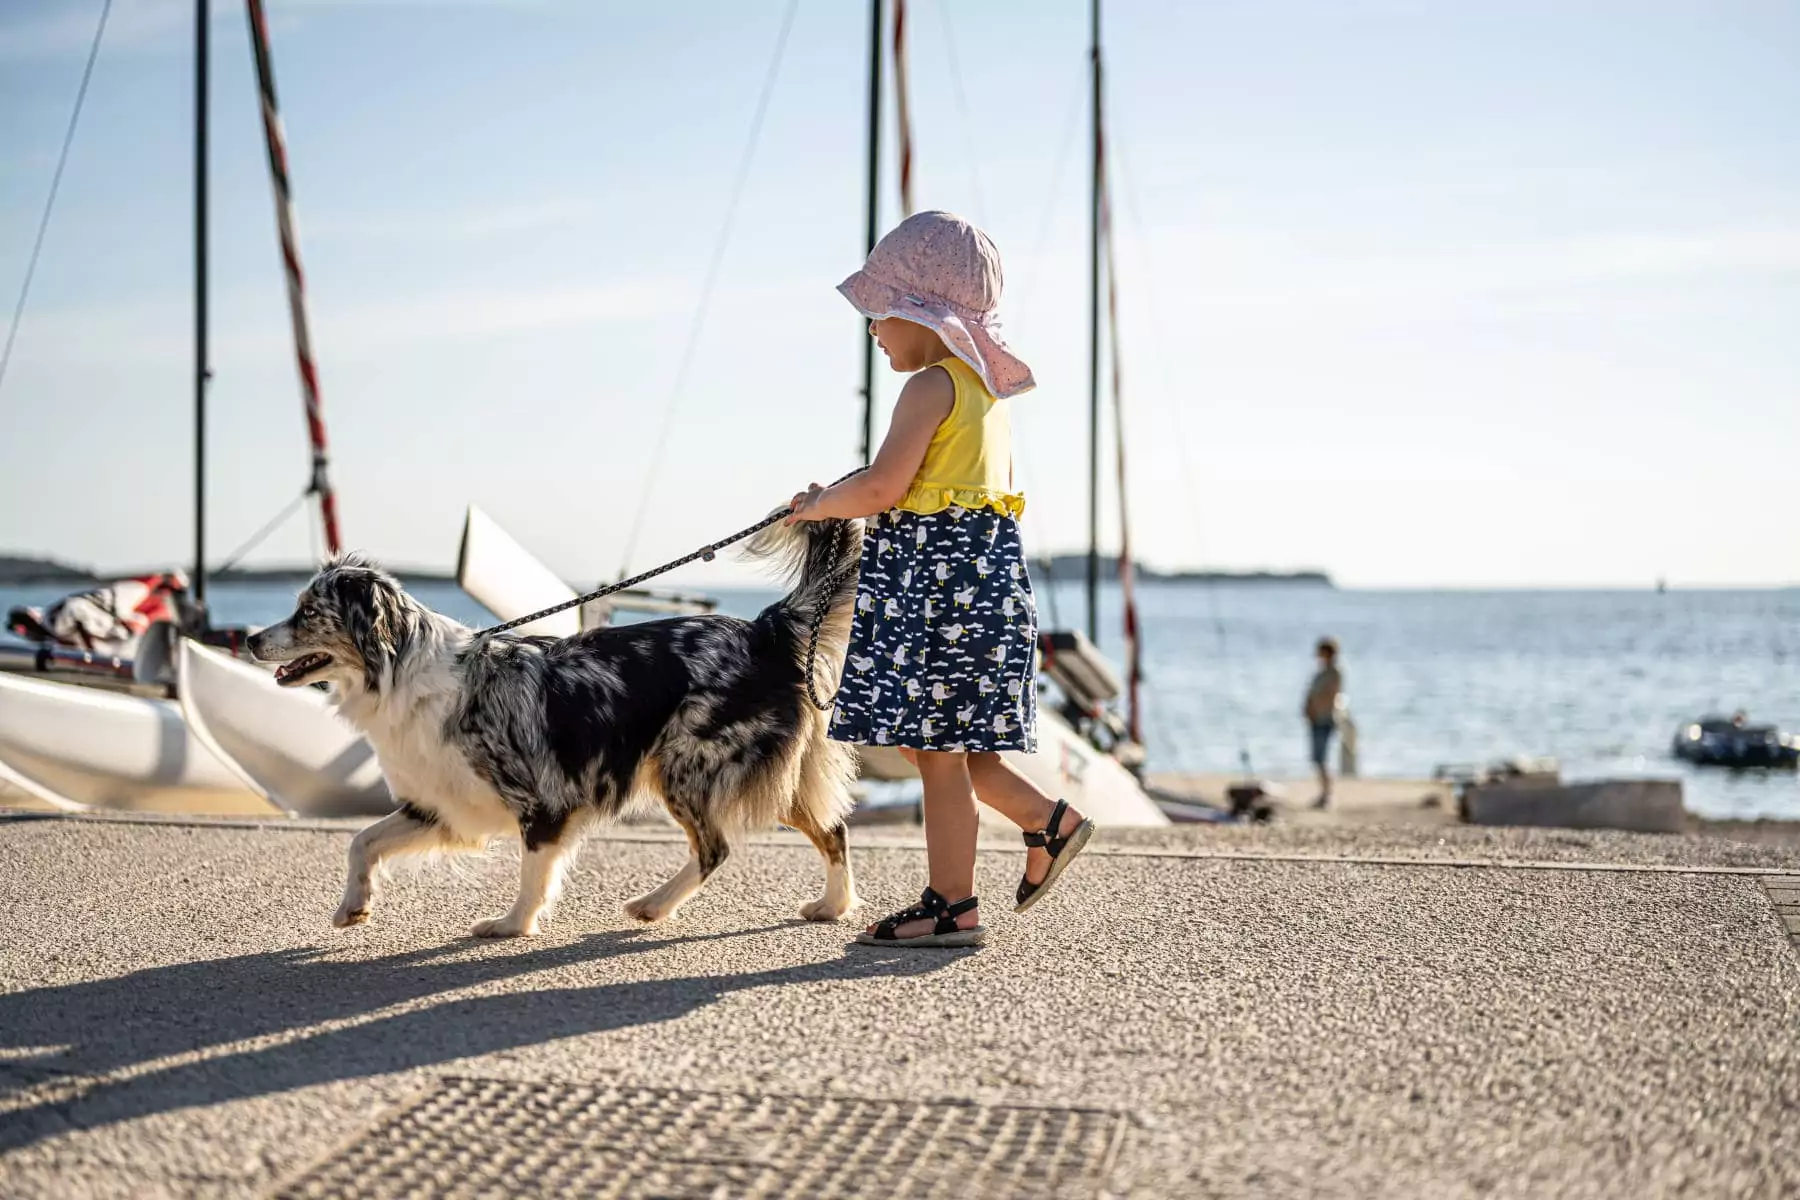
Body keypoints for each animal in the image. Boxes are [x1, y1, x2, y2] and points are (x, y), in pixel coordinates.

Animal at [246, 518, 864, 935]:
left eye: (307, 612)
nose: (250, 638)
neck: (400, 671)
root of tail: (763, 630)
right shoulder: (440, 802)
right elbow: (362, 841)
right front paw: (353, 904)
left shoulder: (542, 797)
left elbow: (533, 872)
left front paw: (512, 925)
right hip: (764, 771)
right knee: (830, 827)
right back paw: (833, 906)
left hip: (688, 765)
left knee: (716, 848)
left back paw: (654, 904)